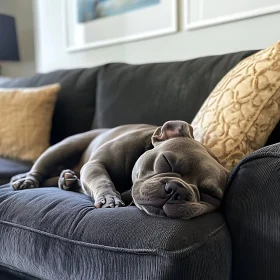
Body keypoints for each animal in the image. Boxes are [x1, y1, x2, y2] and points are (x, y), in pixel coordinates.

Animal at [11, 120, 230, 219]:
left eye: (210, 194)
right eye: (166, 161)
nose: (177, 190)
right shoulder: (95, 165)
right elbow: (102, 179)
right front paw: (110, 199)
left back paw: (67, 179)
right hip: (64, 147)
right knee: (39, 169)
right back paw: (27, 180)